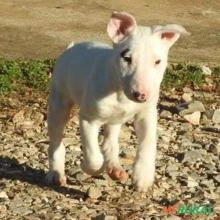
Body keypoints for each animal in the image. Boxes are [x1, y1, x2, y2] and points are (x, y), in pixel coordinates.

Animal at [45, 12, 189, 192]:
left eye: (157, 61)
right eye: (126, 58)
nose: (141, 95)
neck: (119, 91)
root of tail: (71, 48)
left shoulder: (147, 114)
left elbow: (148, 144)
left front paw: (143, 178)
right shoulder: (88, 119)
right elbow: (93, 156)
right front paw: (89, 167)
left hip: (114, 119)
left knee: (110, 141)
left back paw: (115, 169)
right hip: (59, 102)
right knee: (56, 142)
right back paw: (56, 173)